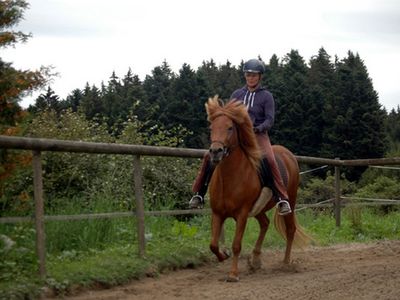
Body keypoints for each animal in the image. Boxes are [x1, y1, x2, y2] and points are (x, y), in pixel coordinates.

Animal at [205, 95, 310, 282]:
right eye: (212, 127)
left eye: (230, 127)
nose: (216, 151)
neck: (230, 178)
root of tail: (288, 154)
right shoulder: (217, 213)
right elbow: (213, 244)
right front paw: (223, 255)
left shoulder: (242, 214)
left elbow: (237, 244)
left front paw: (233, 274)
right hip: (259, 208)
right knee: (265, 223)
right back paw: (255, 260)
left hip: (291, 199)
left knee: (290, 229)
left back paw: (285, 262)